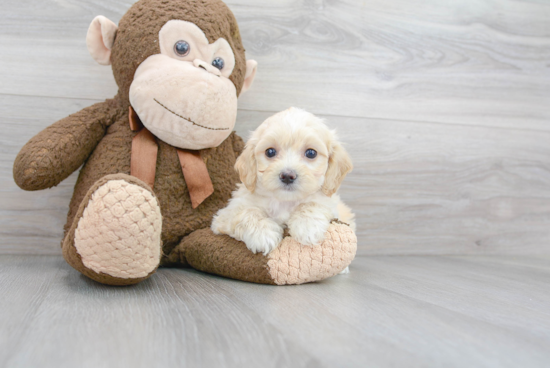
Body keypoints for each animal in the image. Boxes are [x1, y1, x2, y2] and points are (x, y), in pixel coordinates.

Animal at [209, 108, 356, 254]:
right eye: (270, 152)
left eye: (311, 153)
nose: (287, 176)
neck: (284, 201)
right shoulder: (225, 215)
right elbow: (247, 212)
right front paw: (263, 234)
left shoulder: (331, 205)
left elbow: (313, 204)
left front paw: (307, 227)